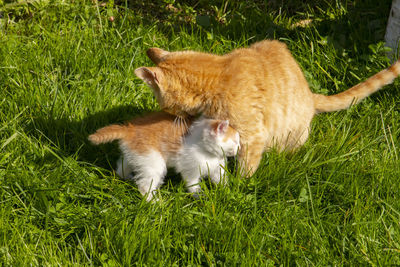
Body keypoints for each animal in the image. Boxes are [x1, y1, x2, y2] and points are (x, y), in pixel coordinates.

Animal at [89, 112, 239, 202]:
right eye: (235, 141)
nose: (239, 149)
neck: (209, 152)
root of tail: (129, 130)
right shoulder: (191, 169)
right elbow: (192, 184)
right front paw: (199, 196)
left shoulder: (217, 168)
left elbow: (221, 179)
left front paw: (226, 191)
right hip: (153, 161)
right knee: (144, 186)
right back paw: (154, 203)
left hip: (136, 155)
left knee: (122, 165)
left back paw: (127, 177)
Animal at [134, 38, 400, 175]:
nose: (166, 115)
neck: (217, 78)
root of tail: (310, 94)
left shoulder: (252, 137)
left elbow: (246, 169)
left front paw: (237, 189)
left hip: (291, 136)